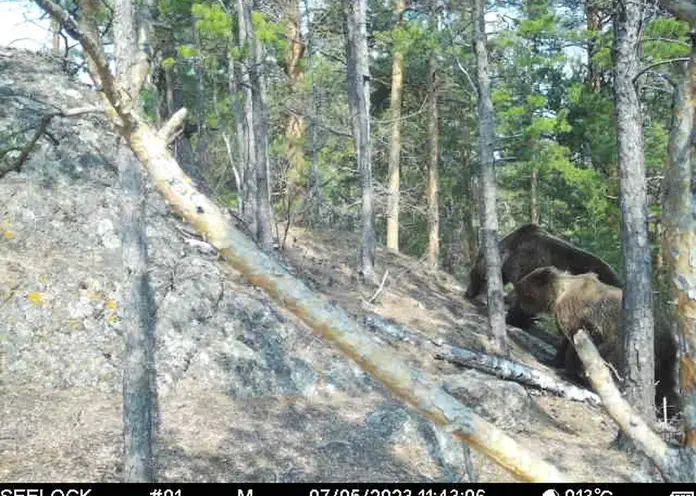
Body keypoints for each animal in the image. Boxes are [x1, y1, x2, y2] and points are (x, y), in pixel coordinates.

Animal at [512, 268, 676, 418]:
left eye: (522, 292)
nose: (519, 307)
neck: (560, 293)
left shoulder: (575, 315)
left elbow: (571, 344)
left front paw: (563, 367)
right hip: (665, 358)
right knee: (666, 384)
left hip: (621, 339)